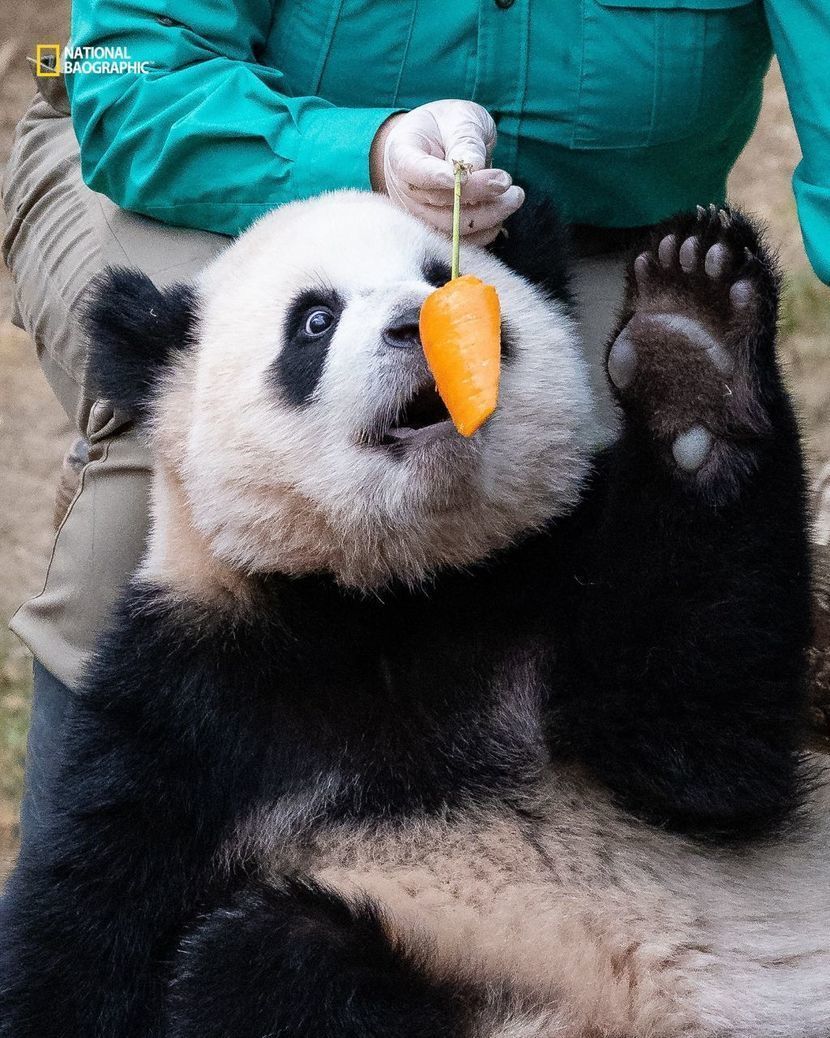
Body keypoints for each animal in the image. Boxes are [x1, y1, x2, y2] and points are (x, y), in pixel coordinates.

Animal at [1, 191, 828, 1038]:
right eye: (315, 320)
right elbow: (91, 923)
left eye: (442, 276)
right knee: (262, 956)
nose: (415, 326)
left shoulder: (553, 568)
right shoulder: (192, 691)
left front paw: (693, 352)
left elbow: (700, 734)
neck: (400, 591)